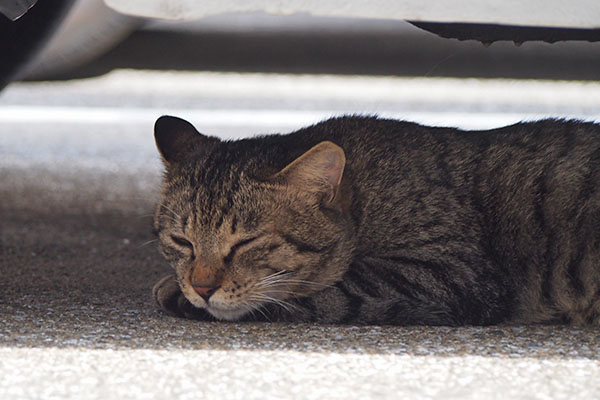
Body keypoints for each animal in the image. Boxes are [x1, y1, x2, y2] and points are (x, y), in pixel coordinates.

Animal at [151, 114, 600, 326]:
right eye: (181, 241)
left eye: (246, 243)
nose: (202, 287)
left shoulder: (449, 271)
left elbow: (314, 293)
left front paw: (176, 293)